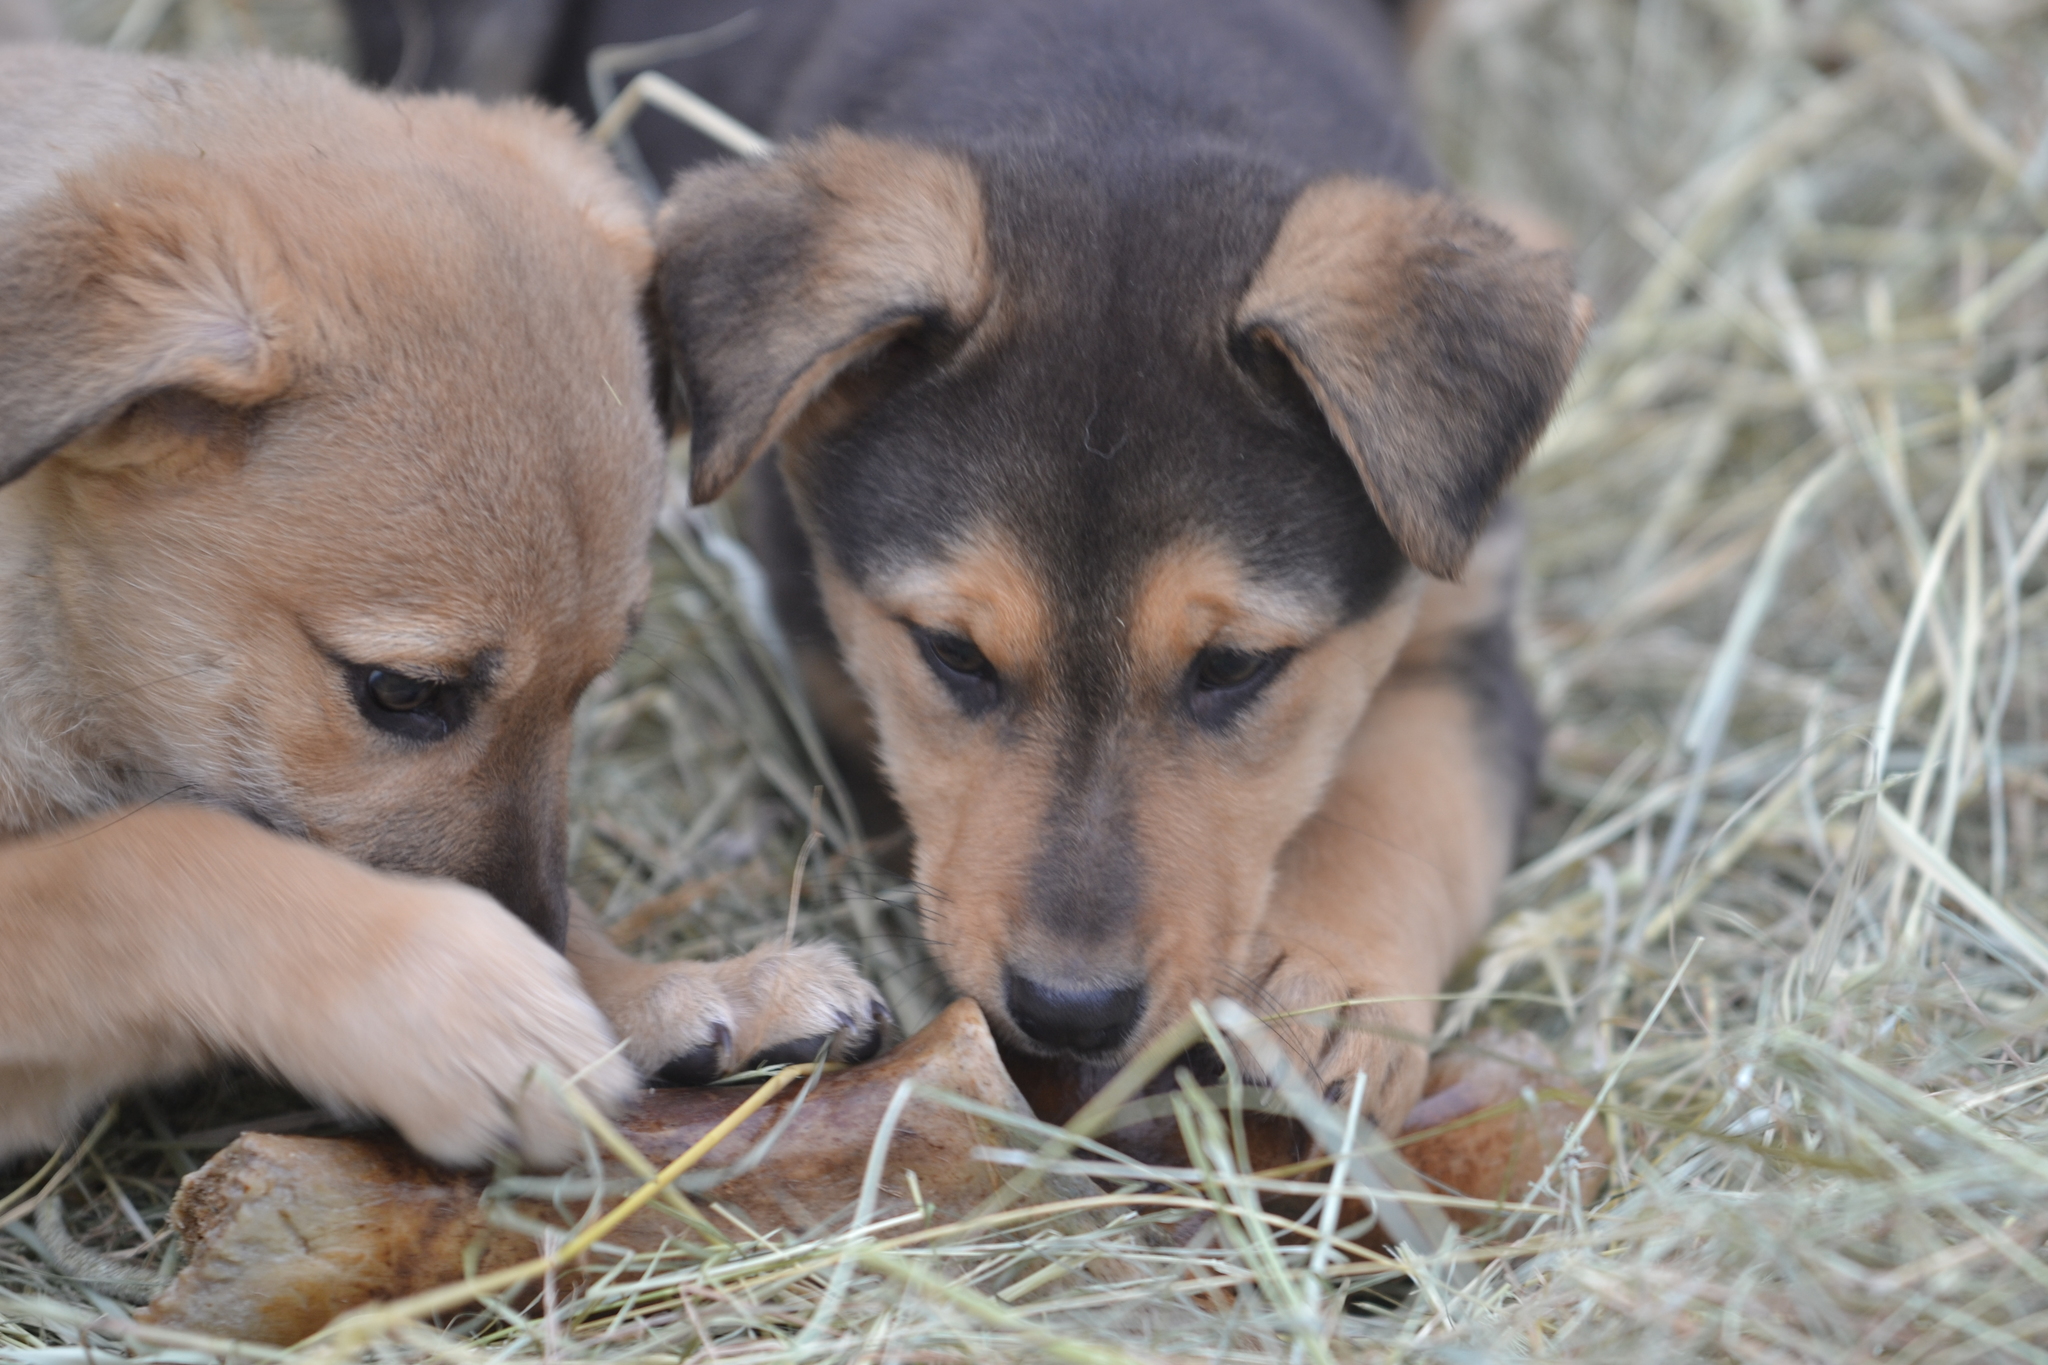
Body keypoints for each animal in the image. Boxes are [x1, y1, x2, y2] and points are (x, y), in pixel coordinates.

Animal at [0, 45, 884, 1178]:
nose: (531, 937)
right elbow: (145, 862)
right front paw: (463, 1004)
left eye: (591, 683)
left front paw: (662, 987)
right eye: (399, 691)